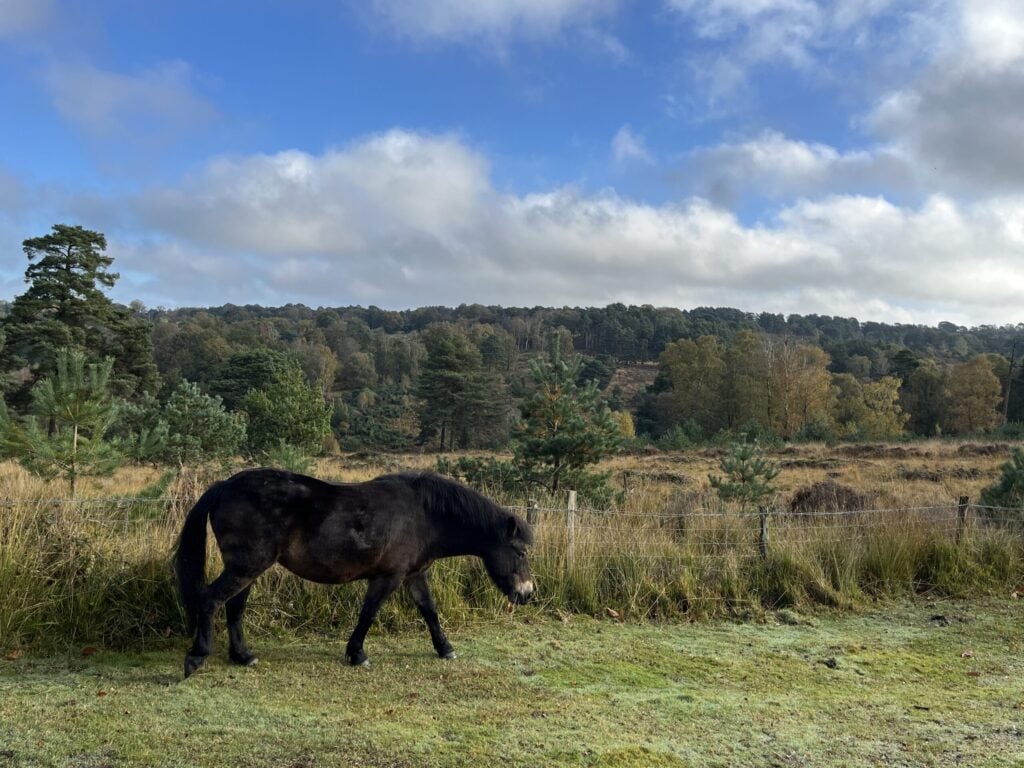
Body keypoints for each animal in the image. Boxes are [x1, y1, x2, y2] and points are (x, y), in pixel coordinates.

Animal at [174, 468, 534, 678]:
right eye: (520, 551)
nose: (528, 593)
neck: (424, 514)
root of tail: (225, 486)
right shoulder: (388, 577)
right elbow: (369, 614)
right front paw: (357, 654)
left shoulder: (413, 575)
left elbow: (429, 611)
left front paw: (445, 648)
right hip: (246, 565)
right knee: (210, 601)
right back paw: (196, 657)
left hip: (247, 568)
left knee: (234, 607)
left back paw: (243, 656)